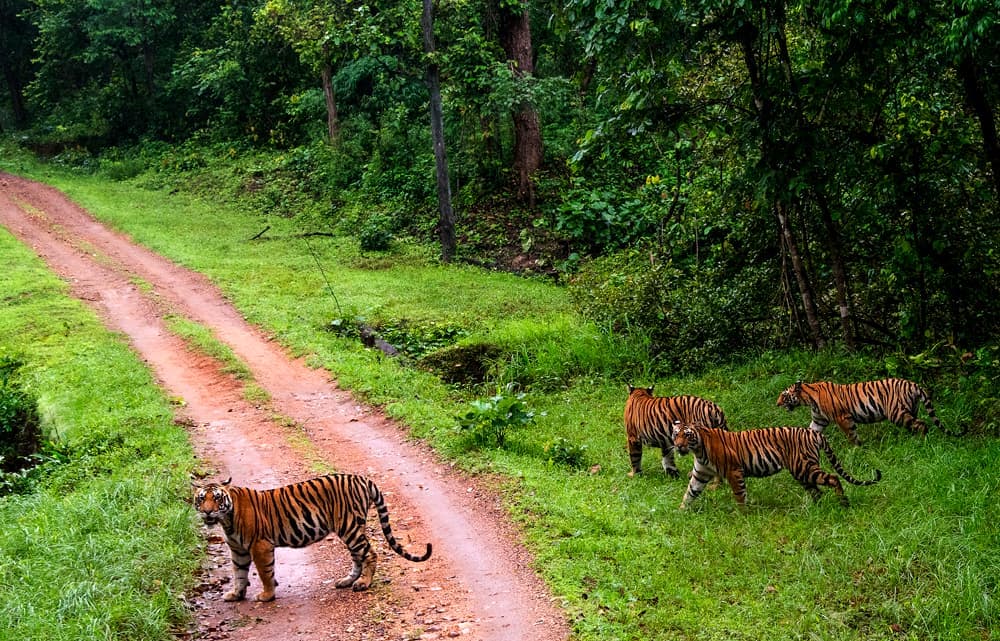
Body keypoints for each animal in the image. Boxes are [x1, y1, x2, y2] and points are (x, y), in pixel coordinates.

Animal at [192, 474, 432, 602]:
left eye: (217, 498)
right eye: (202, 499)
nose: (208, 512)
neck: (227, 520)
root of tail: (362, 478)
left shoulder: (260, 546)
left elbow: (265, 573)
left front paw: (267, 595)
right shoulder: (238, 550)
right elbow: (239, 573)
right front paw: (236, 594)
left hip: (349, 527)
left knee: (370, 554)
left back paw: (364, 583)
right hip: (352, 529)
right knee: (358, 556)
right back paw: (347, 581)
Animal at [671, 422, 882, 509]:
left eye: (687, 435)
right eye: (676, 434)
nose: (679, 445)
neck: (698, 450)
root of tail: (814, 432)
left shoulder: (734, 472)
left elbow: (739, 495)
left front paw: (743, 515)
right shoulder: (700, 474)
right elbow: (689, 493)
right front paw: (680, 512)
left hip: (804, 467)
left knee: (833, 478)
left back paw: (844, 503)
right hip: (802, 472)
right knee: (817, 491)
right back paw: (815, 509)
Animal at [776, 378, 964, 446]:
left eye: (784, 395)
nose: (777, 404)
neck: (809, 399)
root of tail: (913, 384)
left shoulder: (843, 417)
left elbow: (851, 434)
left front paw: (858, 449)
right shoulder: (819, 420)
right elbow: (811, 431)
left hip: (897, 413)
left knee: (922, 424)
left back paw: (922, 442)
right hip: (910, 410)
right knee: (915, 424)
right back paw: (912, 440)